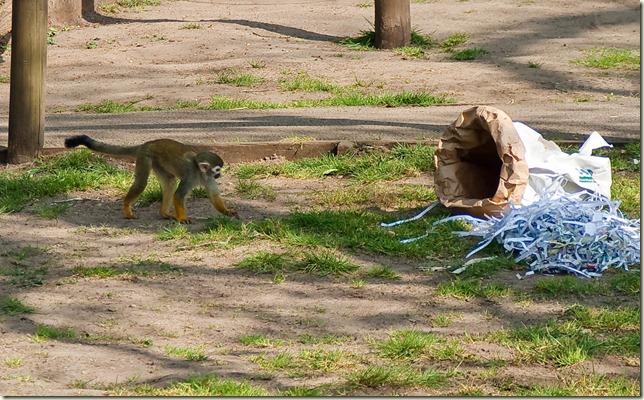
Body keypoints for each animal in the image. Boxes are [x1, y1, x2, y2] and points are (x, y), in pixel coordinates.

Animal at [64, 135, 239, 223]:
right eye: (217, 169)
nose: (219, 175)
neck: (200, 173)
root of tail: (146, 144)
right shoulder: (190, 176)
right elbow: (179, 196)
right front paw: (183, 219)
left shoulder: (208, 178)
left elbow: (214, 196)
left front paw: (227, 211)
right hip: (145, 156)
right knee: (142, 183)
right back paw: (127, 208)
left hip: (157, 162)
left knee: (169, 183)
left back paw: (164, 213)